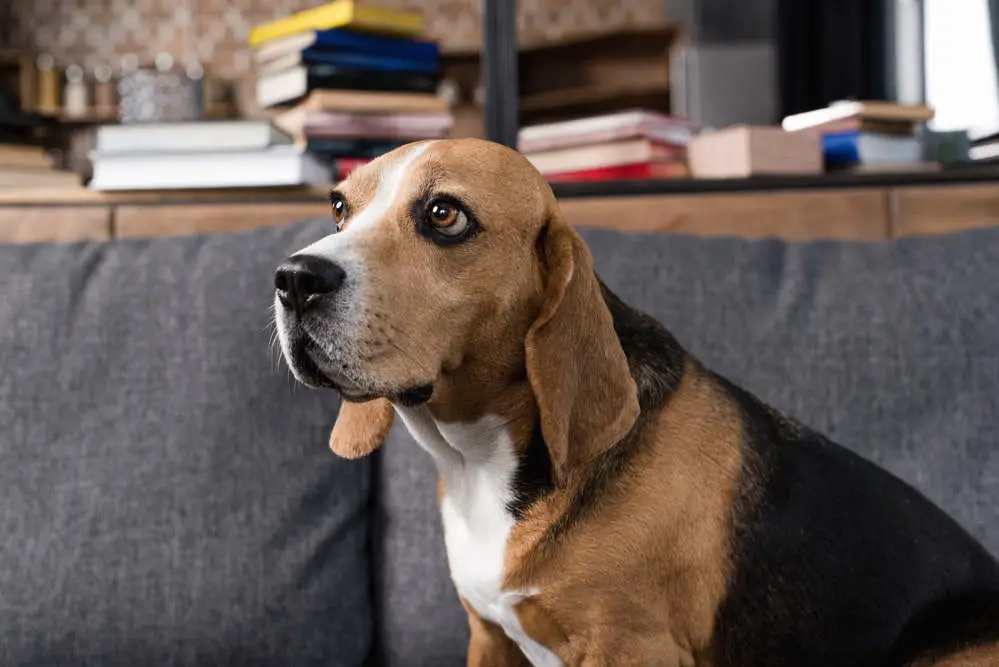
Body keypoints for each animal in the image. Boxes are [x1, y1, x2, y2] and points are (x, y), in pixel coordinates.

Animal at [278, 138, 999, 664]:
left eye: (443, 215)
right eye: (339, 207)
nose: (292, 279)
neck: (483, 462)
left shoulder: (630, 647)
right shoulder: (489, 638)